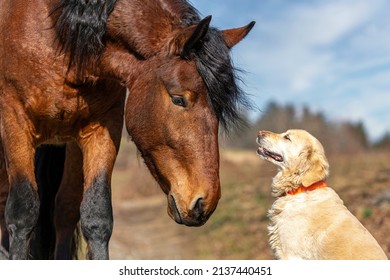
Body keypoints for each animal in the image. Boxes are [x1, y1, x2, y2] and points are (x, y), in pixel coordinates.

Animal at [0, 0, 253, 260]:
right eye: (178, 99)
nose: (204, 202)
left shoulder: (99, 129)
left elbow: (93, 215)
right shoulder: (15, 122)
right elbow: (23, 212)